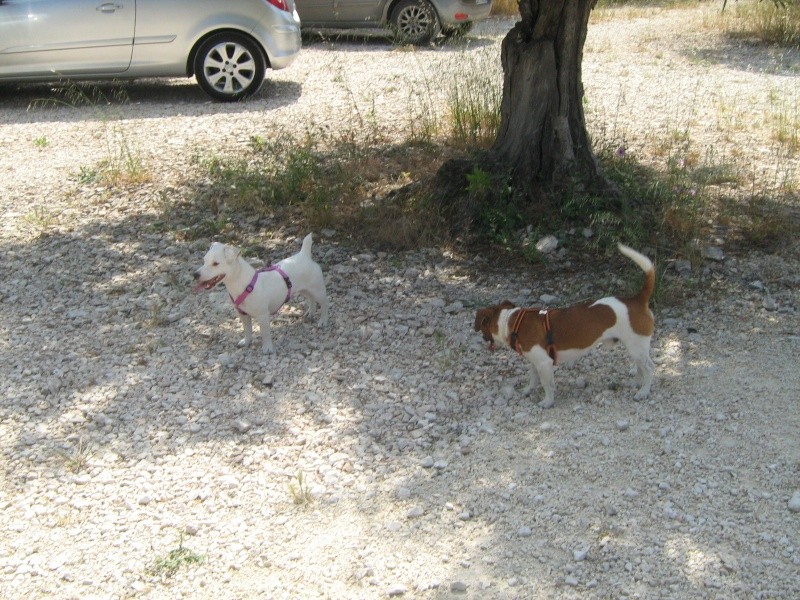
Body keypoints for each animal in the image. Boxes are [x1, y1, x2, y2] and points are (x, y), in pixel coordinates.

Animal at [194, 231, 328, 354]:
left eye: (215, 263)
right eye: (204, 260)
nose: (195, 274)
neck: (245, 284)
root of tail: (304, 255)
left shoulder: (263, 316)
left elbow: (265, 333)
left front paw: (267, 348)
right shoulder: (243, 315)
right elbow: (247, 330)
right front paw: (246, 342)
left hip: (318, 290)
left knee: (324, 304)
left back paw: (322, 321)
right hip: (303, 289)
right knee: (310, 298)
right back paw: (310, 312)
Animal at [472, 244, 652, 408]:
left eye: (482, 327)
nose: (482, 338)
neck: (512, 322)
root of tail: (637, 299)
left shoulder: (544, 363)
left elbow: (547, 385)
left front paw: (547, 402)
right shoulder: (535, 362)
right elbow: (533, 379)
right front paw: (528, 391)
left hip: (636, 346)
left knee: (649, 368)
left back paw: (644, 391)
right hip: (635, 348)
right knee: (640, 367)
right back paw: (637, 384)